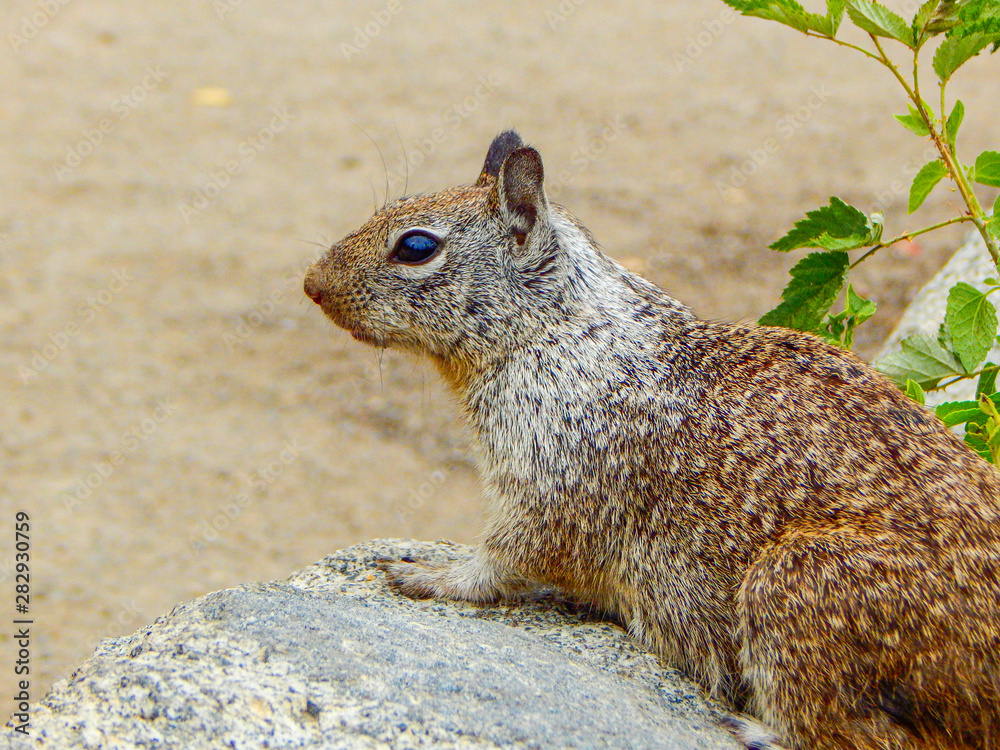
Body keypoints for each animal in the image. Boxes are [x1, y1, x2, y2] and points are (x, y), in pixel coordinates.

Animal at [303, 130, 1000, 750]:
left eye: (416, 246)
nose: (310, 283)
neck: (561, 332)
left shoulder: (548, 493)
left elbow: (497, 563)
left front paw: (427, 575)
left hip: (794, 594)